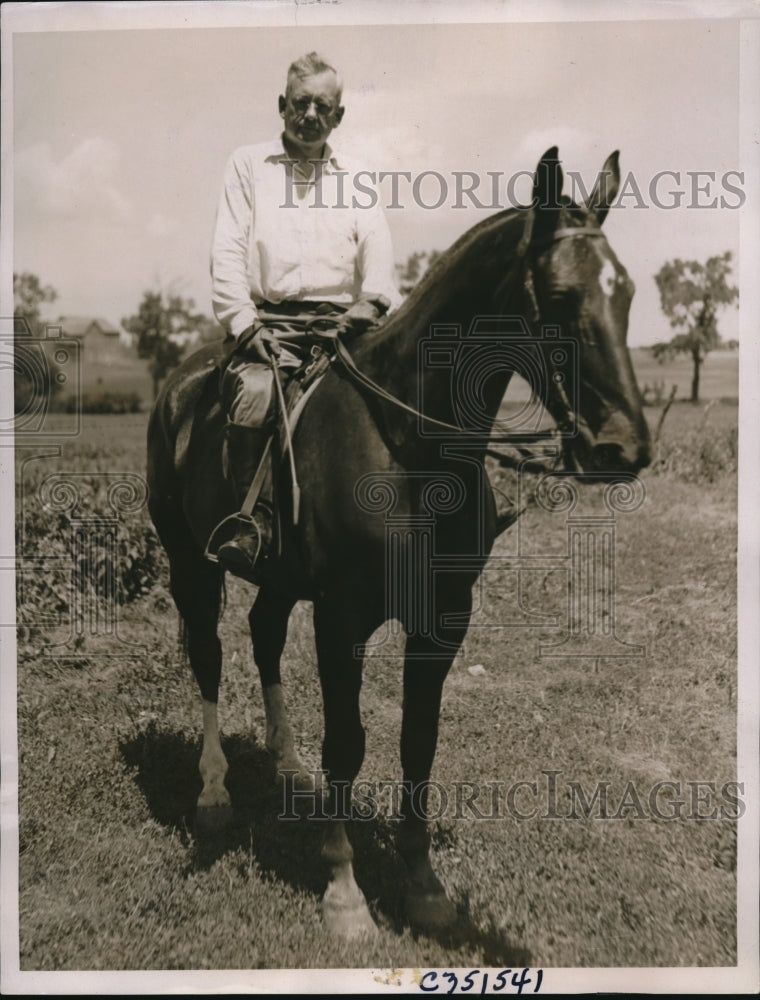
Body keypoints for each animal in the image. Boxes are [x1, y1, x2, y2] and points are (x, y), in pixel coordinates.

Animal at [147, 147, 651, 938]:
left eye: (624, 293)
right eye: (561, 296)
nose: (623, 448)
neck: (409, 447)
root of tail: (178, 383)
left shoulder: (442, 618)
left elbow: (419, 742)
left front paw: (423, 885)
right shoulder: (342, 617)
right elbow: (348, 745)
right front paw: (344, 891)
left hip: (279, 580)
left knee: (263, 637)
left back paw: (287, 767)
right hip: (187, 567)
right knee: (208, 658)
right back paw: (214, 795)